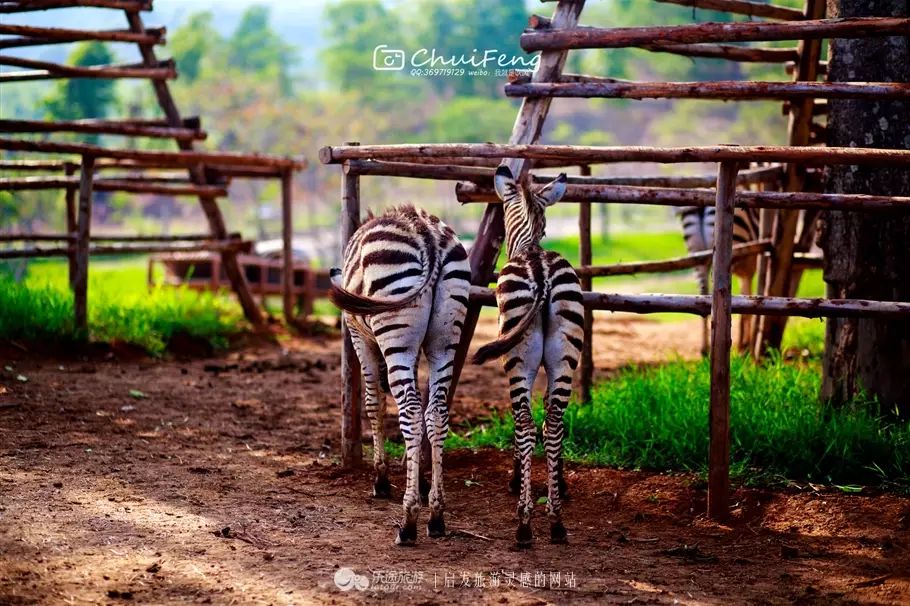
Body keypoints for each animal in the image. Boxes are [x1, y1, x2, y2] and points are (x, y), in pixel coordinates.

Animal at [328, 205, 470, 548]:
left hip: (394, 333)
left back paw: (408, 521)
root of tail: (428, 235)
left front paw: (380, 479)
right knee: (435, 413)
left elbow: (373, 403)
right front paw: (418, 478)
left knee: (410, 412)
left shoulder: (359, 337)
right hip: (445, 337)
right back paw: (436, 515)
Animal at [470, 166, 584, 552]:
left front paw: (516, 479)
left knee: (524, 420)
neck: (530, 245)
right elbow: (549, 418)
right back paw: (557, 521)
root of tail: (541, 270)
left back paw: (524, 523)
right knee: (554, 421)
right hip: (565, 354)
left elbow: (521, 423)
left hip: (516, 358)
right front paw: (559, 482)